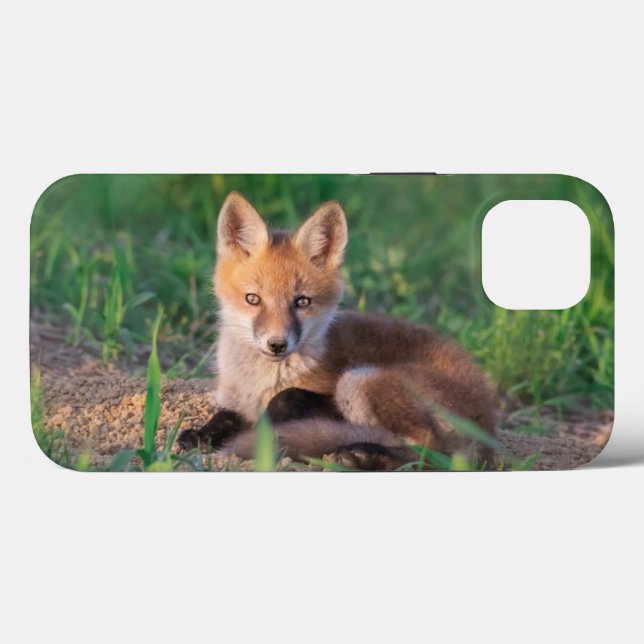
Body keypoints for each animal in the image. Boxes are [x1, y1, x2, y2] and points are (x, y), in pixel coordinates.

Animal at [178, 191, 496, 470]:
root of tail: (490, 430)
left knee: (432, 454)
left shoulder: (325, 394)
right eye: (253, 299)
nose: (277, 344)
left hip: (359, 380)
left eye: (302, 302)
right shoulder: (232, 400)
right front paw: (201, 435)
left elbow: (288, 396)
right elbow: (223, 418)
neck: (259, 382)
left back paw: (366, 456)